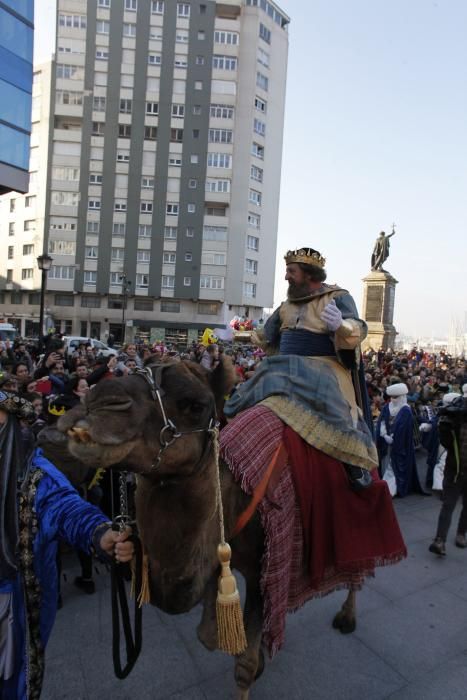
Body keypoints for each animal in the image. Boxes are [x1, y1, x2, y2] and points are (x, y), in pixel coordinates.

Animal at [55, 358, 394, 696]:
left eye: (195, 404)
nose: (97, 401)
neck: (236, 494)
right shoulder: (213, 556)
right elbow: (209, 635)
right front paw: (259, 654)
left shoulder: (262, 568)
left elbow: (243, 664)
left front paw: (255, 661)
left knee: (359, 561)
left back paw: (346, 617)